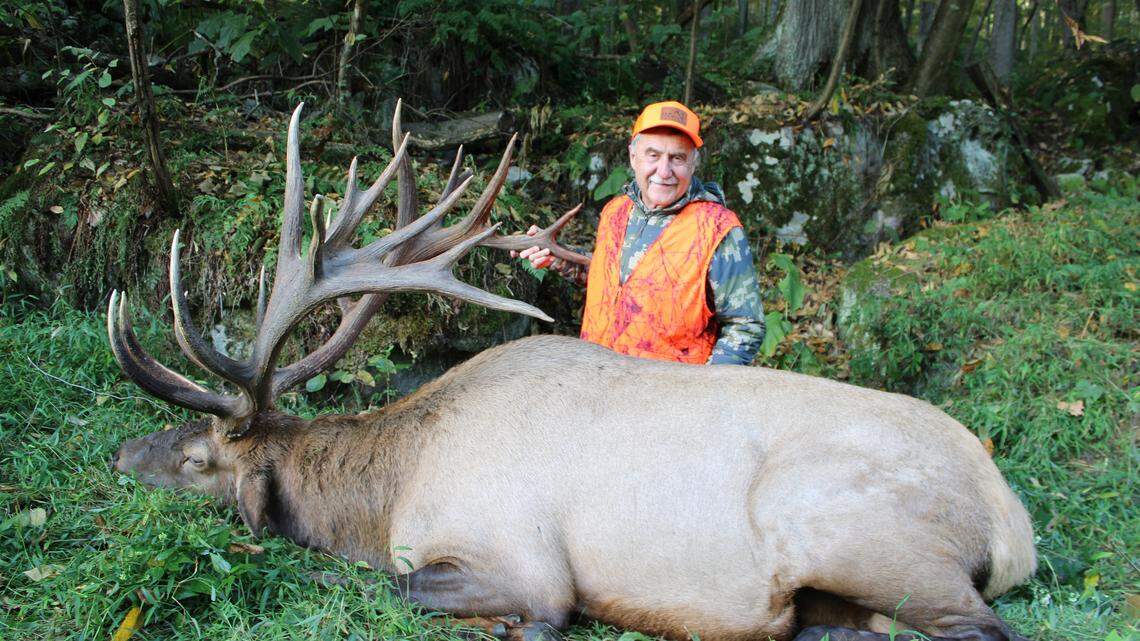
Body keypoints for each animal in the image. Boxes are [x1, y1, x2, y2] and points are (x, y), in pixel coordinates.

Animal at [108, 102, 1037, 641]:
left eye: (198, 457)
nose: (119, 455)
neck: (387, 490)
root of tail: (1010, 519)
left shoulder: (520, 557)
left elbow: (431, 592)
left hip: (850, 527)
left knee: (982, 628)